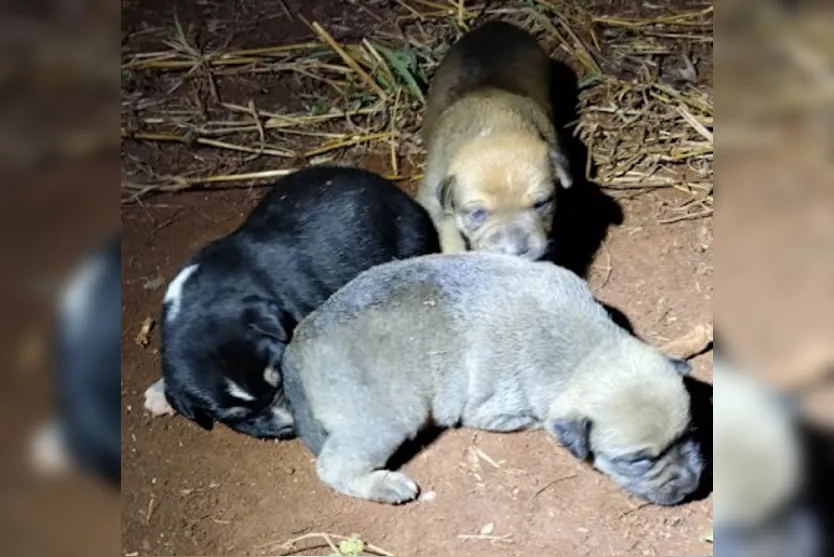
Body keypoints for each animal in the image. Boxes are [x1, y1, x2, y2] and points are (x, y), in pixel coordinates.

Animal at [282, 252, 704, 504]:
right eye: (637, 461)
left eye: (689, 433)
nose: (691, 485)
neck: (585, 353)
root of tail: (296, 345)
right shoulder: (493, 409)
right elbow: (535, 419)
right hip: (383, 419)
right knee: (334, 466)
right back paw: (385, 485)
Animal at [416, 19, 572, 258]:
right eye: (477, 213)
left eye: (541, 204)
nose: (518, 252)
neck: (494, 125)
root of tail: (497, 23)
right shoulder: (433, 194)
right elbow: (448, 229)